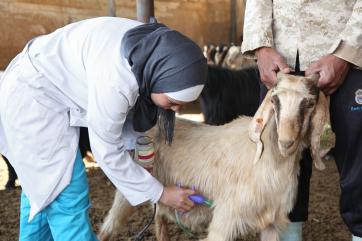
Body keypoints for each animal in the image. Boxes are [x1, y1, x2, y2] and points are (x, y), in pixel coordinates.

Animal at [98, 72, 328, 241]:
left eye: (309, 103)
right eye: (274, 99)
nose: (286, 142)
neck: (268, 162)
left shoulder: (271, 223)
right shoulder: (225, 219)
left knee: (160, 217)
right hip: (129, 188)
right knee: (110, 225)